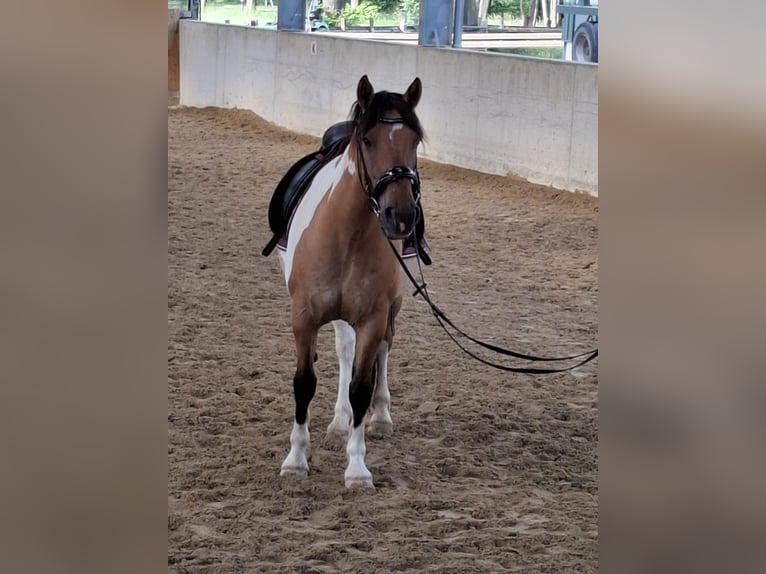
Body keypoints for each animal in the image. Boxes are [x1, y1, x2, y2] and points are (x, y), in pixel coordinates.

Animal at [274, 75, 427, 488]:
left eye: (414, 140)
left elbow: (362, 386)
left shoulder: (373, 317)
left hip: (391, 306)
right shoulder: (303, 317)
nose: (400, 216)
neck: (346, 232)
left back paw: (380, 417)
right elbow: (303, 383)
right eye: (369, 140)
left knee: (384, 349)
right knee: (344, 350)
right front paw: (296, 459)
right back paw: (339, 422)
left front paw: (357, 467)